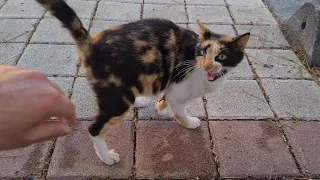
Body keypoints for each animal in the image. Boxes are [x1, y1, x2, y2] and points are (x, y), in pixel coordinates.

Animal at [35, 0, 250, 165]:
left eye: (222, 56)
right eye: (204, 51)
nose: (207, 65)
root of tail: (92, 42)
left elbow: (166, 99)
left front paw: (160, 106)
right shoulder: (179, 86)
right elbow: (180, 110)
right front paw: (189, 122)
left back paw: (139, 101)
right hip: (116, 99)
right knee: (94, 129)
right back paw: (106, 158)